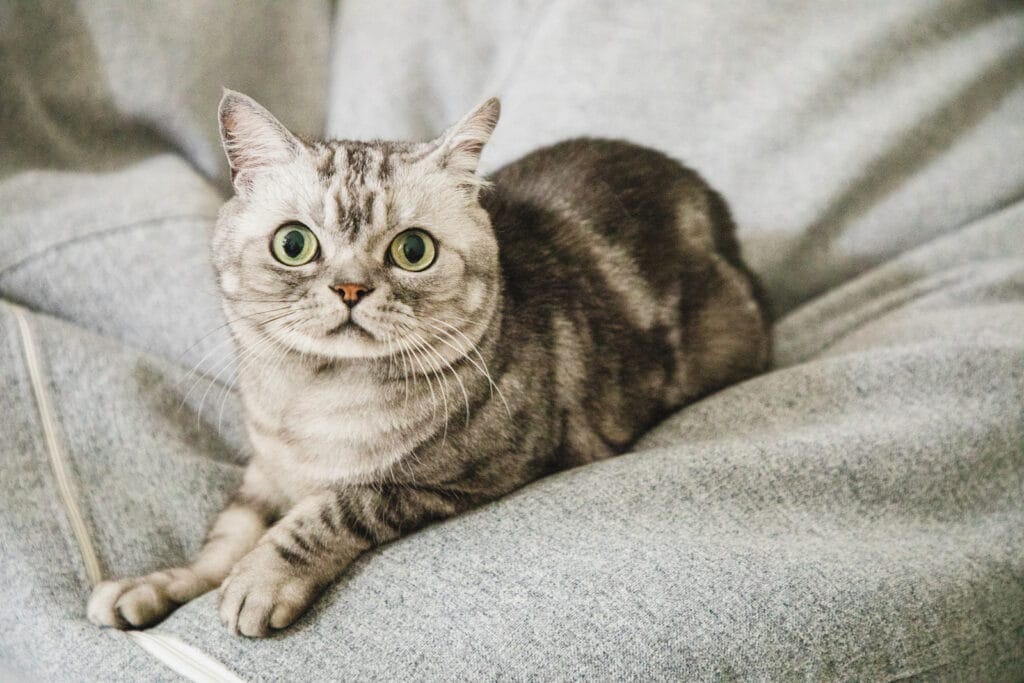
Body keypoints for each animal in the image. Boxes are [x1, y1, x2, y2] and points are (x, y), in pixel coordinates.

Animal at [86, 89, 770, 634]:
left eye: (412, 251)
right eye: (294, 244)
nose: (351, 289)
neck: (312, 402)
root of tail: (711, 201)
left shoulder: (459, 475)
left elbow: (327, 511)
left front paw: (260, 581)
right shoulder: (263, 473)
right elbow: (221, 542)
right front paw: (152, 586)